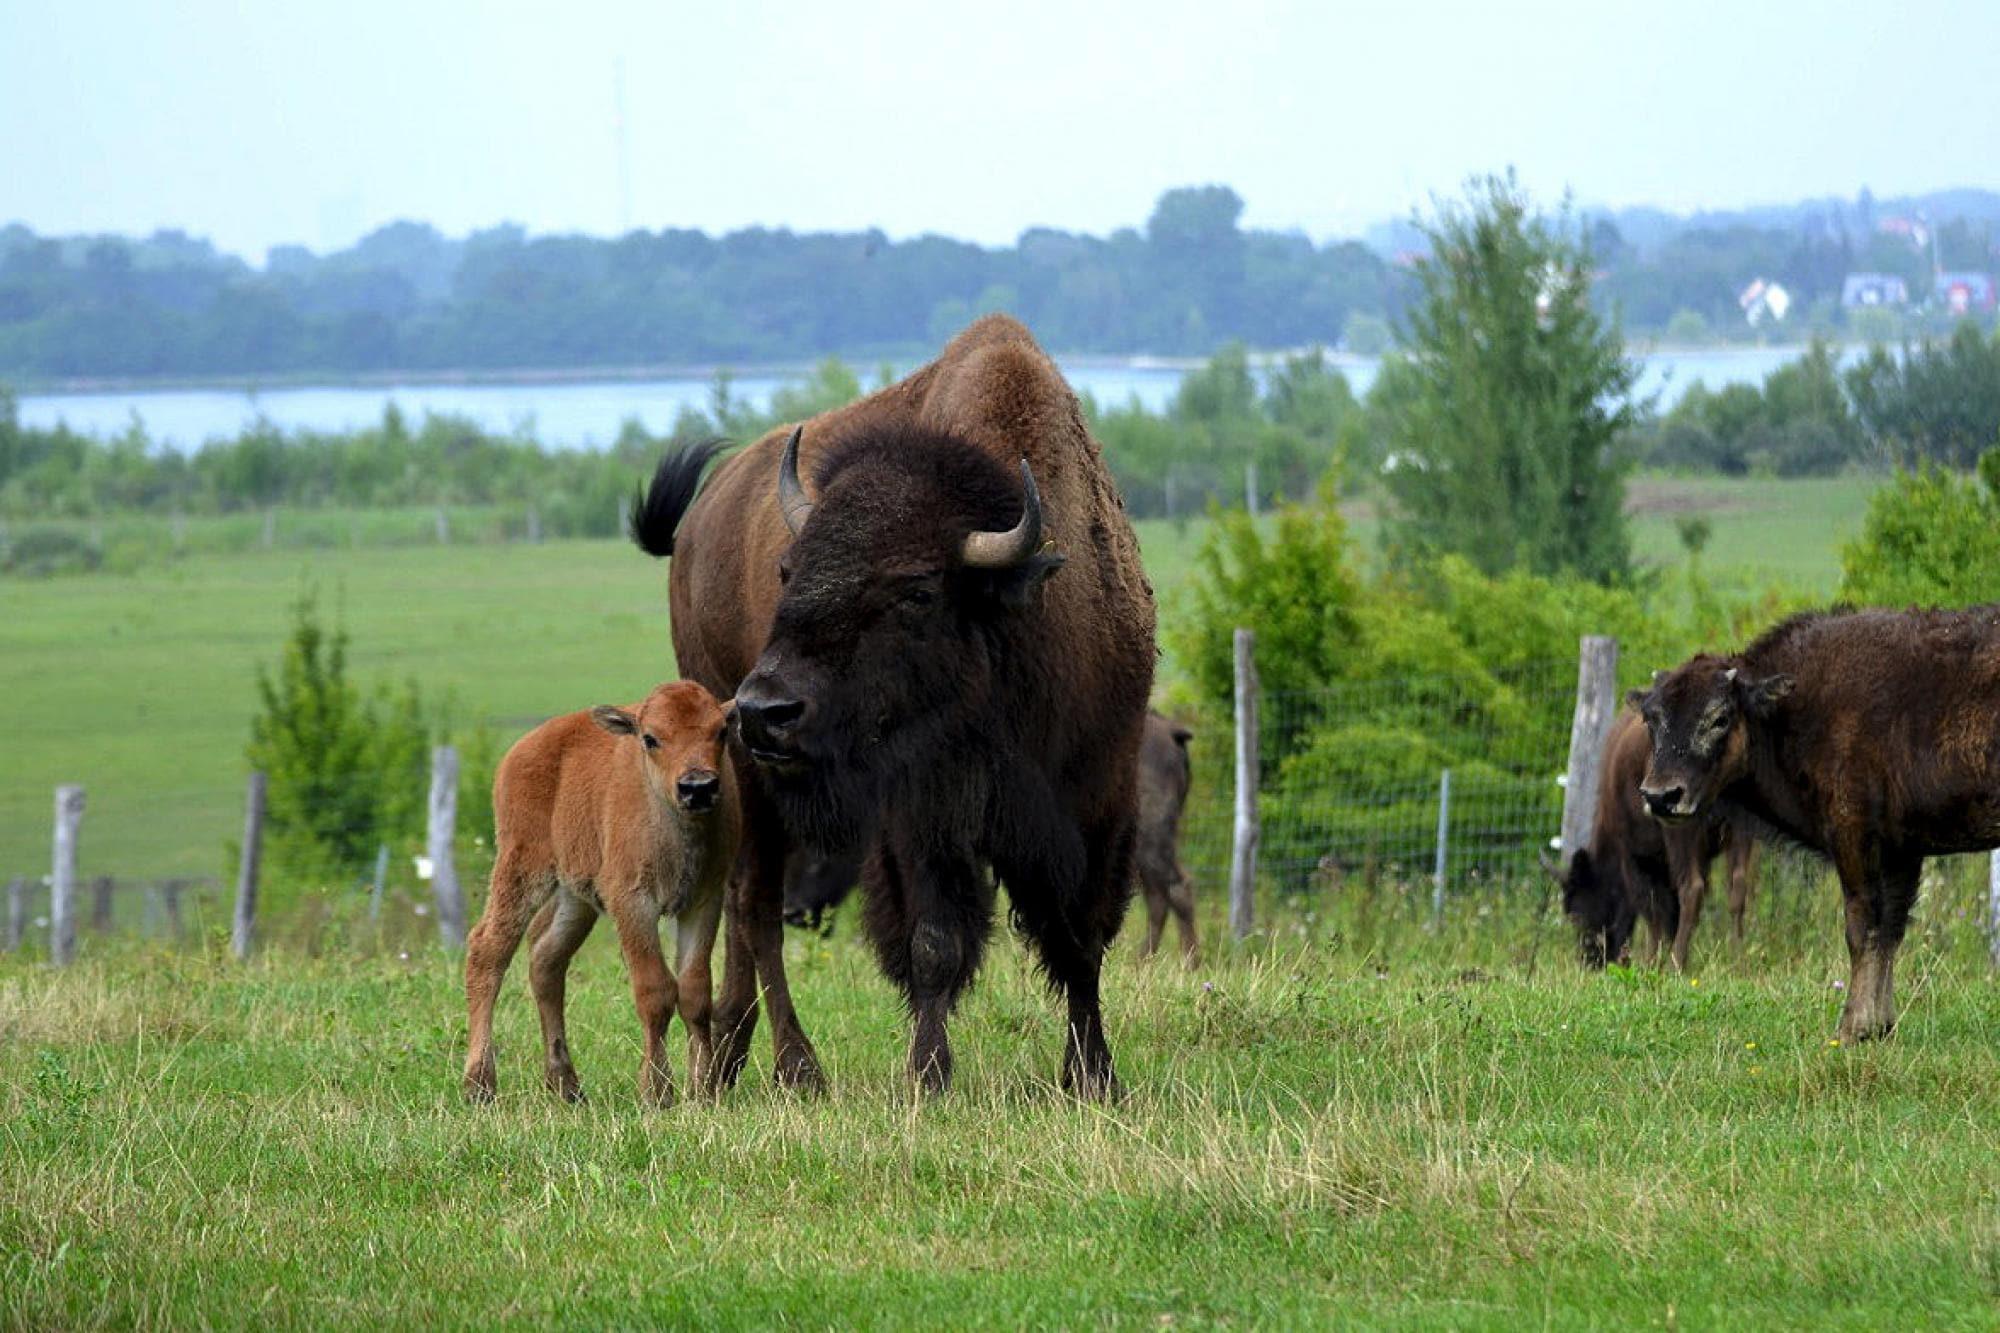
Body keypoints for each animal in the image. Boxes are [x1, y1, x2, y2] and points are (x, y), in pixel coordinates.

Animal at [461, 681, 737, 1107]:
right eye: (650, 738)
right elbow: (656, 991)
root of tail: (520, 751)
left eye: (721, 731)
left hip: (576, 898)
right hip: (522, 868)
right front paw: (657, 1092)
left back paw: (565, 1085)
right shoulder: (633, 903)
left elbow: (695, 992)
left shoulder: (704, 901)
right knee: (488, 949)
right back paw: (479, 1085)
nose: (698, 787)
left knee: (546, 958)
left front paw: (705, 1091)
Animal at [631, 315, 1156, 1098]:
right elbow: (934, 941)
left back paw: (729, 1055)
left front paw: (1094, 1076)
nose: (761, 710)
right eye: (787, 568)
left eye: (917, 590)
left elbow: (1081, 939)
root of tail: (699, 521)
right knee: (755, 905)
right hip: (746, 777)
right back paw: (795, 1066)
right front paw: (928, 1073)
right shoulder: (921, 817)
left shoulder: (1099, 800)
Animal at [1562, 708, 1759, 971]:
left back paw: (1677, 964)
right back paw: (1737, 958)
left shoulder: (1633, 856)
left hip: (1680, 828)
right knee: (1737, 886)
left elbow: (1651, 909)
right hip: (1740, 831)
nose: (1591, 961)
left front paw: (1652, 963)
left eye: (1575, 914)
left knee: (1691, 889)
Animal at [1627, 605, 2000, 1041]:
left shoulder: (1854, 837)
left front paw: (1852, 1028)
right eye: (1651, 720)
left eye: (1719, 718)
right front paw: (1880, 1026)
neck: (1795, 709)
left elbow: (1861, 926)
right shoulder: (1901, 849)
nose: (1661, 795)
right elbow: (1890, 929)